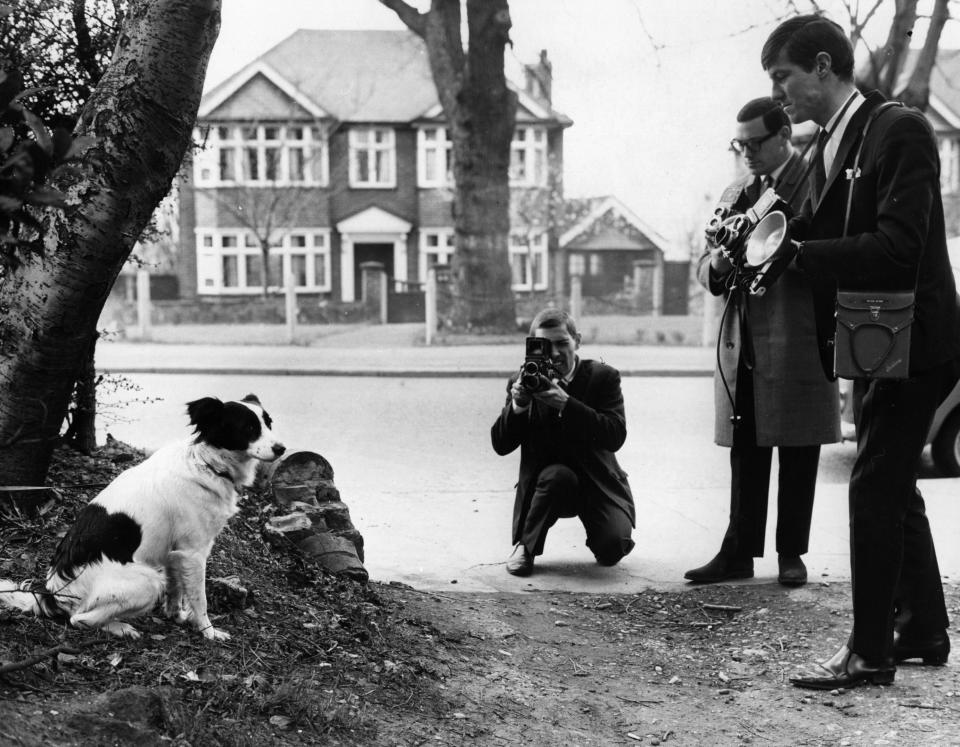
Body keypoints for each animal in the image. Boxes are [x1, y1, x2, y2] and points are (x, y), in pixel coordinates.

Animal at [0, 394, 284, 640]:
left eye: (269, 423)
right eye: (249, 428)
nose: (282, 448)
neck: (207, 464)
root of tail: (53, 595)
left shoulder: (174, 552)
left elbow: (176, 588)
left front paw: (176, 615)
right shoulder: (193, 552)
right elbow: (199, 599)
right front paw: (208, 632)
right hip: (148, 581)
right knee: (79, 619)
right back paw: (121, 627)